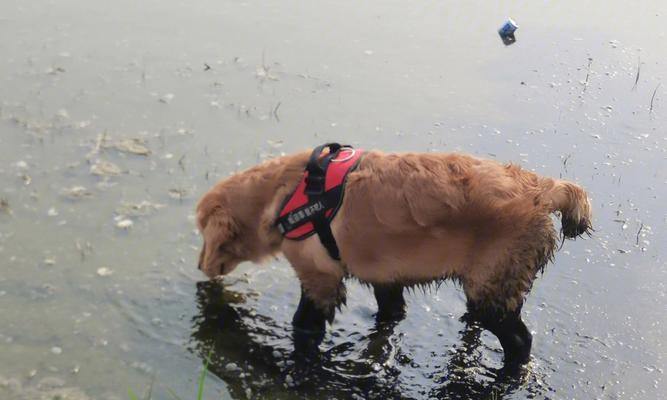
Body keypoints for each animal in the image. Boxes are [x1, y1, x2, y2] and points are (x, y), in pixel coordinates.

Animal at [196, 147, 592, 366]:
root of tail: (543, 188)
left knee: (520, 341)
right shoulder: (385, 278)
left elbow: (304, 325)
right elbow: (390, 313)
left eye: (202, 233)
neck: (288, 193)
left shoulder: (319, 279)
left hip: (495, 287)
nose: (200, 266)